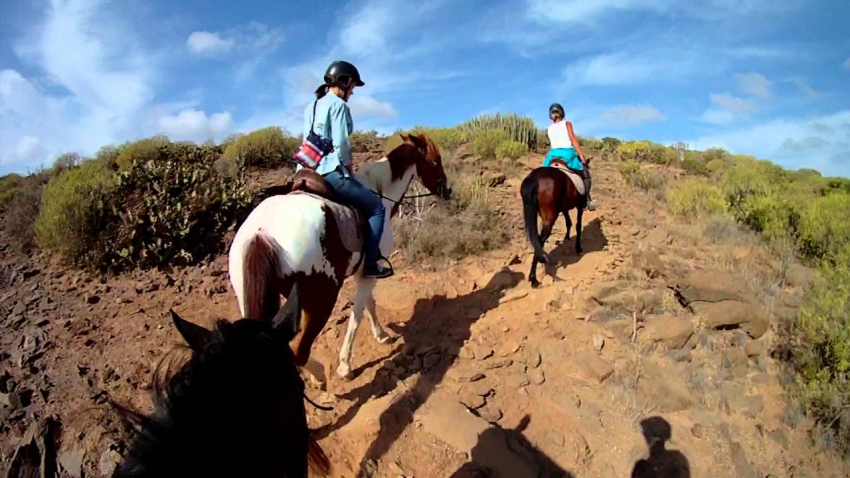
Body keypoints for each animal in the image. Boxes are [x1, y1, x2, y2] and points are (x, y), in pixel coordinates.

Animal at [229, 133, 448, 382]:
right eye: (435, 160)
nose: (447, 189)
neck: (379, 191)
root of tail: (261, 233)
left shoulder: (363, 271)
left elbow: (369, 304)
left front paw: (381, 335)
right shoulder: (370, 272)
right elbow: (357, 313)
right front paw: (345, 365)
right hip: (321, 301)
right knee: (299, 352)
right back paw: (320, 375)